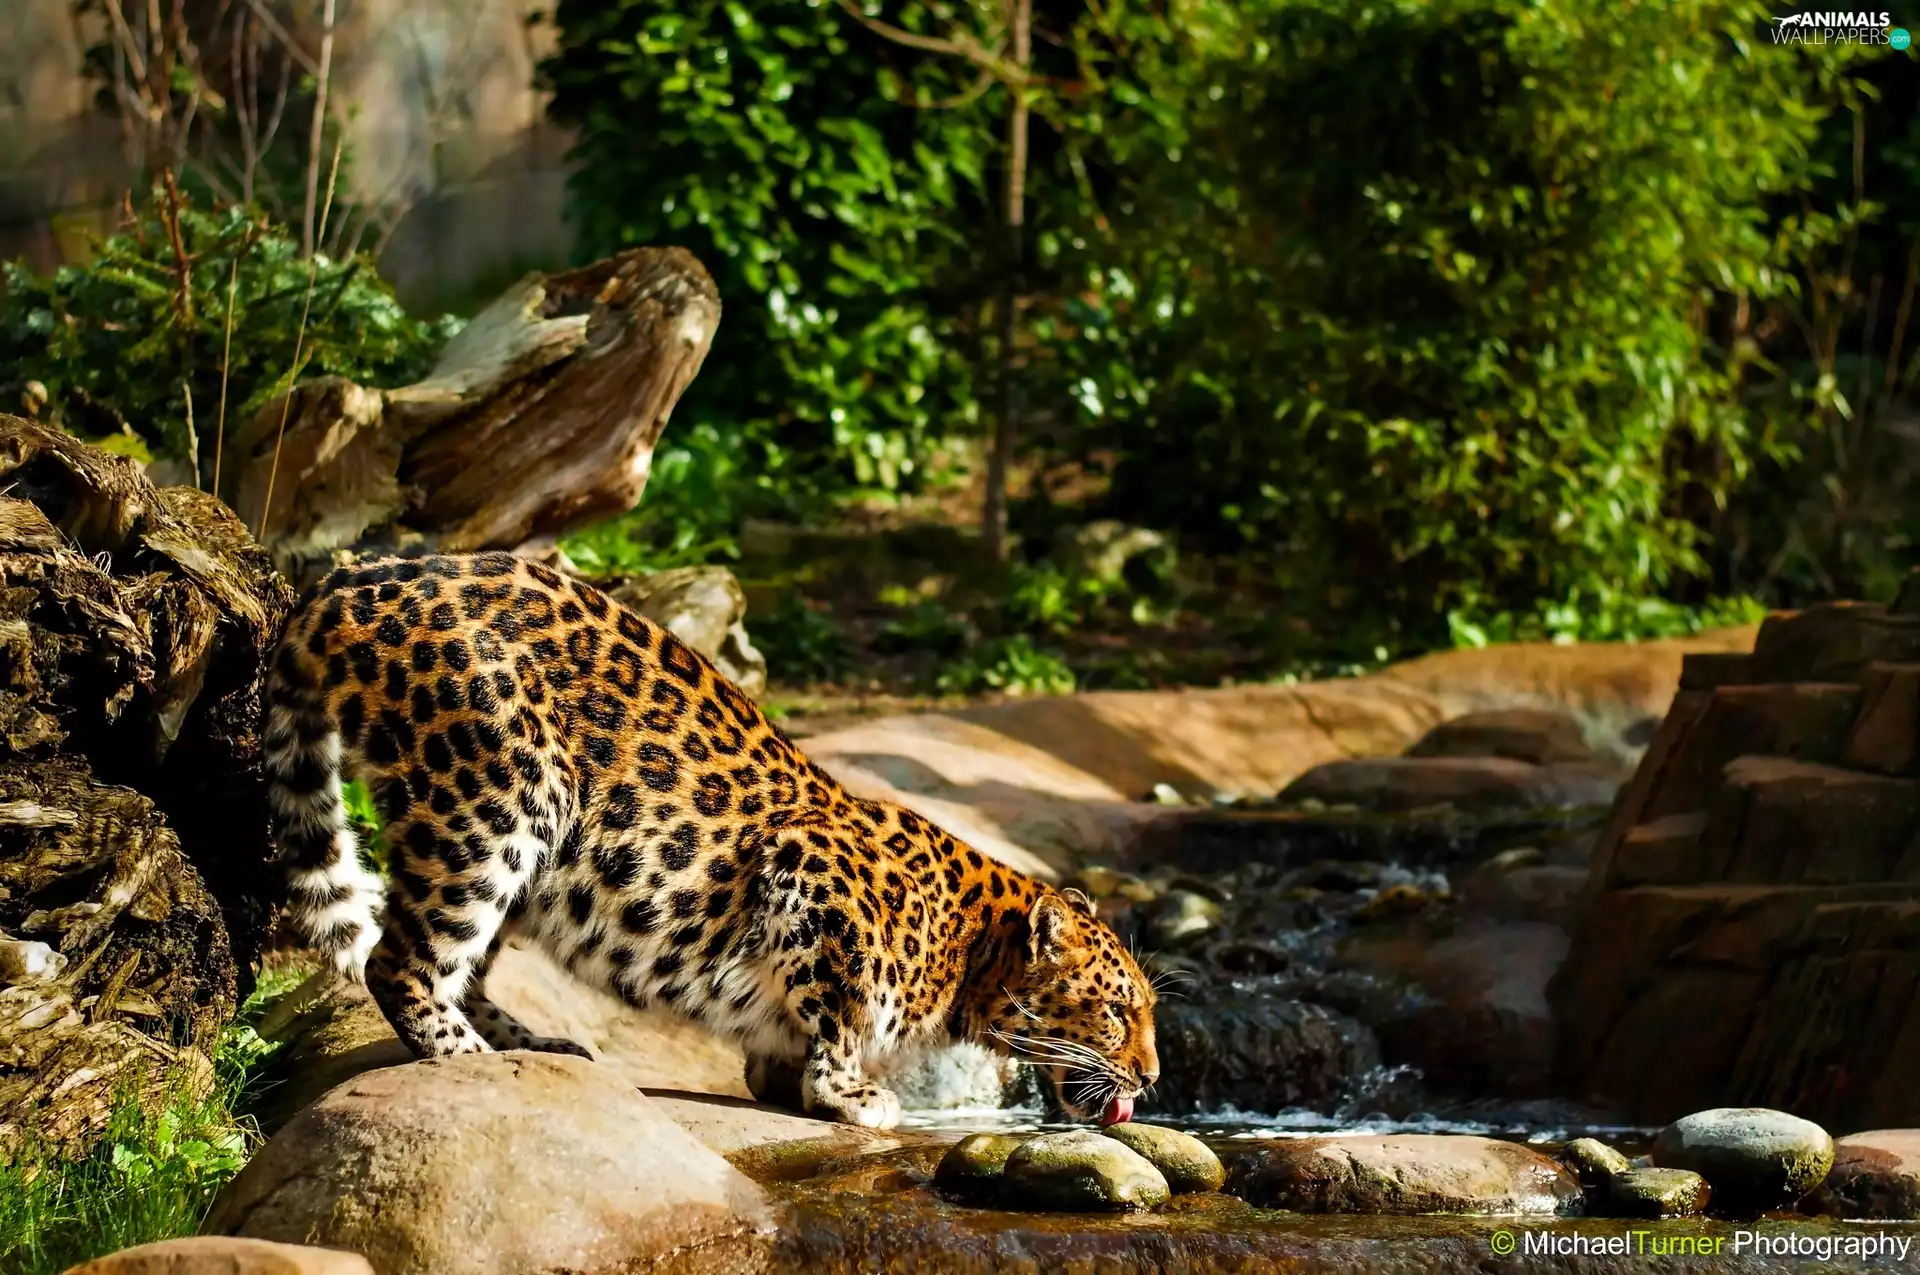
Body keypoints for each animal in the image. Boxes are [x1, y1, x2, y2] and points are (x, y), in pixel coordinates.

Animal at [263, 551, 1159, 1128]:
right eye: (1118, 1009)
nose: (1151, 1076)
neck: (971, 950)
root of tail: (349, 576)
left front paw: (786, 1077)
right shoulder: (812, 873)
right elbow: (839, 1011)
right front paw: (852, 1096)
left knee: (463, 961)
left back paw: (536, 1043)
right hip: (501, 794)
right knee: (398, 956)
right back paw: (469, 1054)